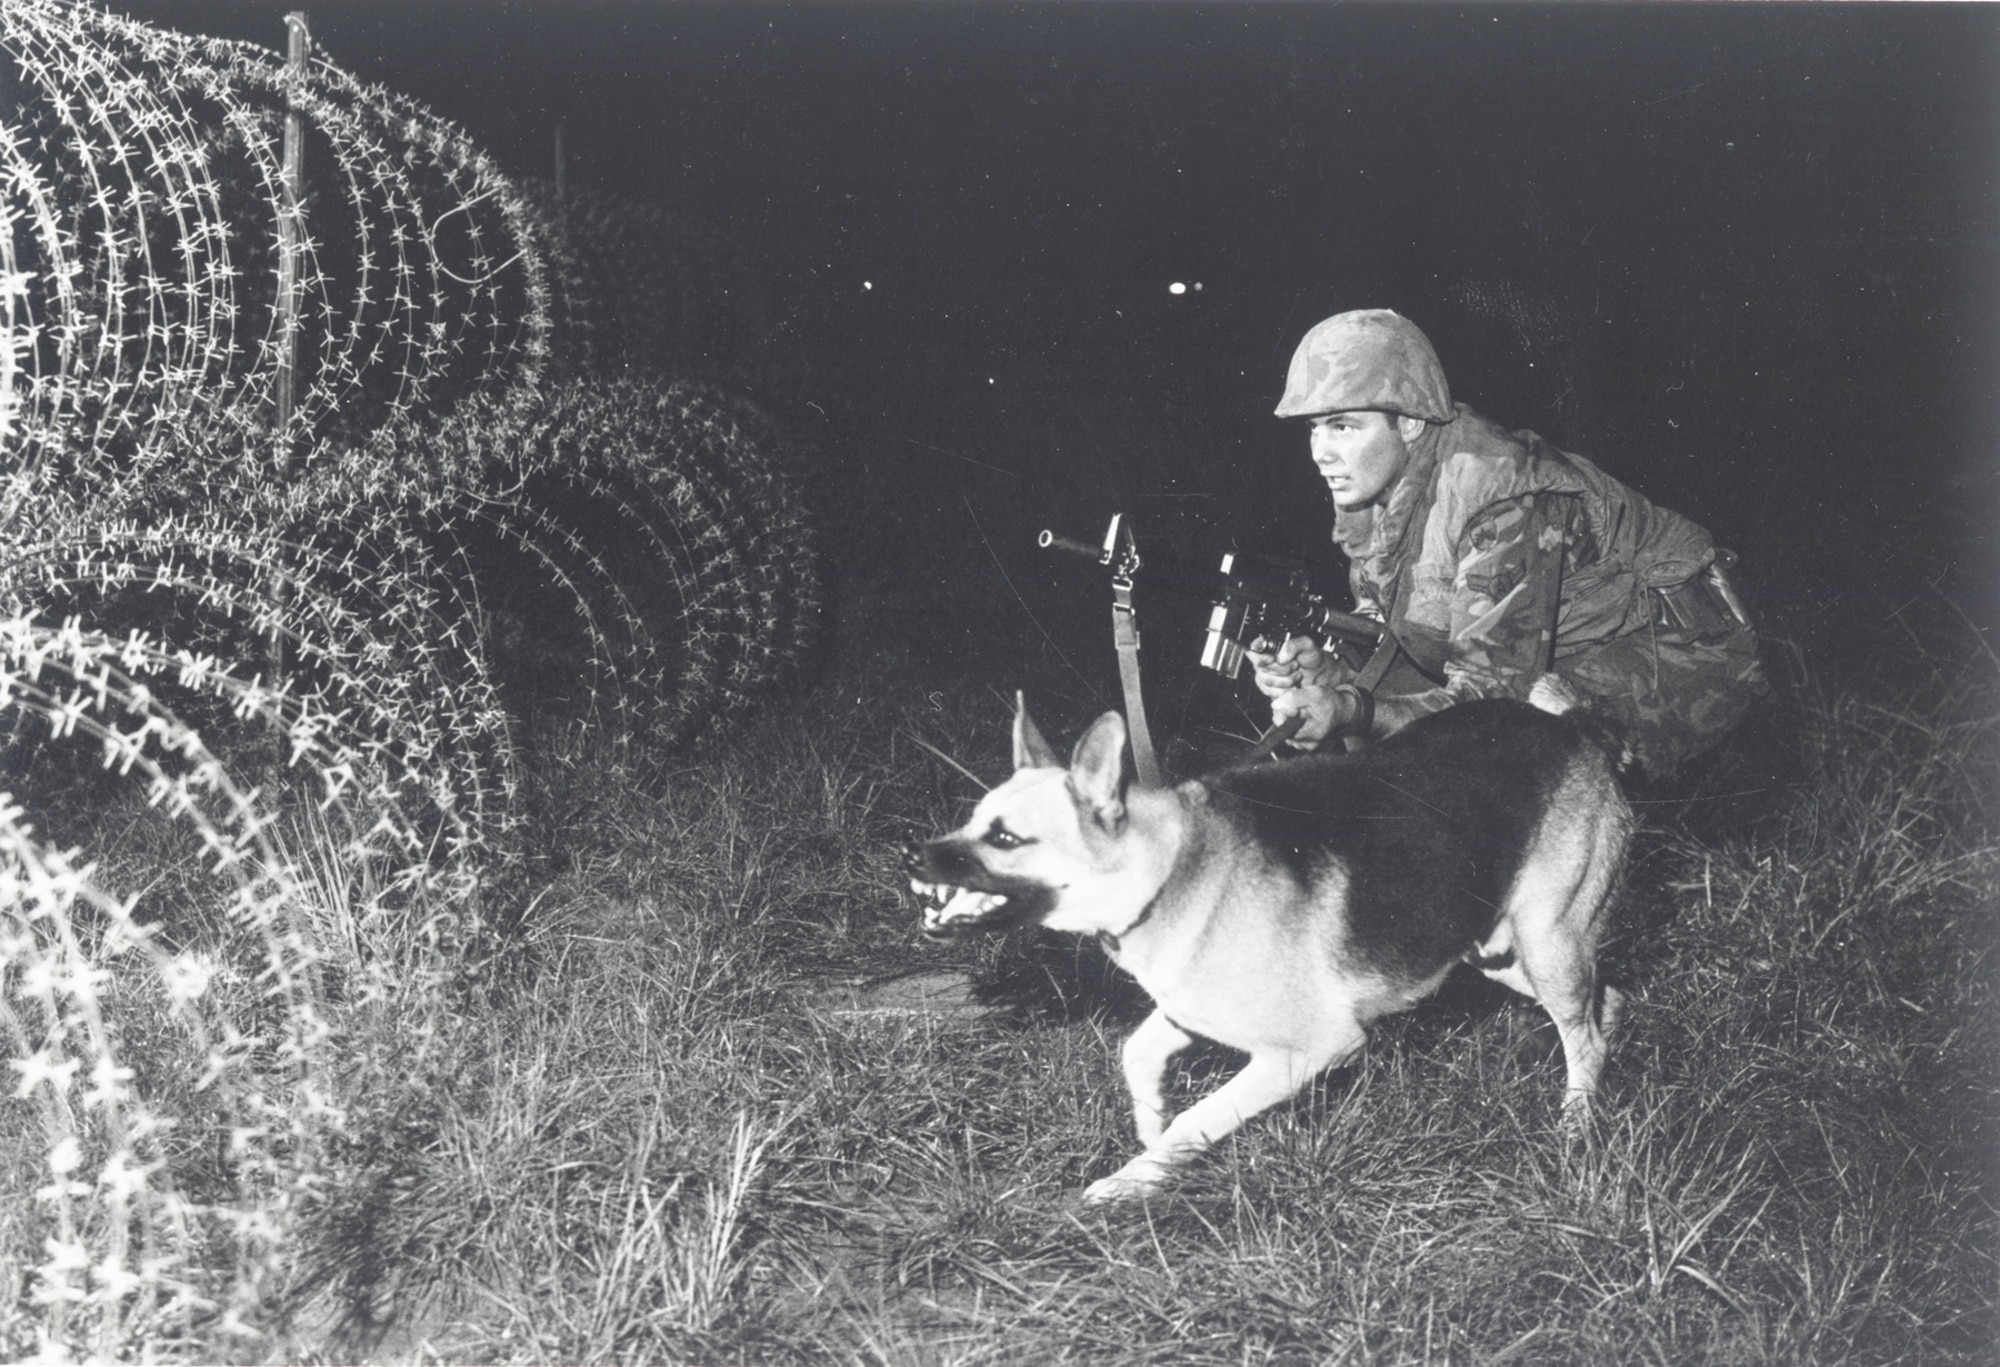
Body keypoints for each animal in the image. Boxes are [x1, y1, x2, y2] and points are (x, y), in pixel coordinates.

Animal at [908, 695, 1624, 1207]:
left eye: (1004, 838)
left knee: (1585, 1037)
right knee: (1605, 1005)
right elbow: (1137, 1053)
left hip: (1545, 944)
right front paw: (1149, 1132)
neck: (1169, 867)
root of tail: (1573, 730)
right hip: (1500, 954)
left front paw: (1138, 1176)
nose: (915, 857)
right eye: (974, 820)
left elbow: (1198, 1119)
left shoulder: (1310, 1050)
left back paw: (1575, 1130)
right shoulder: (1187, 1008)